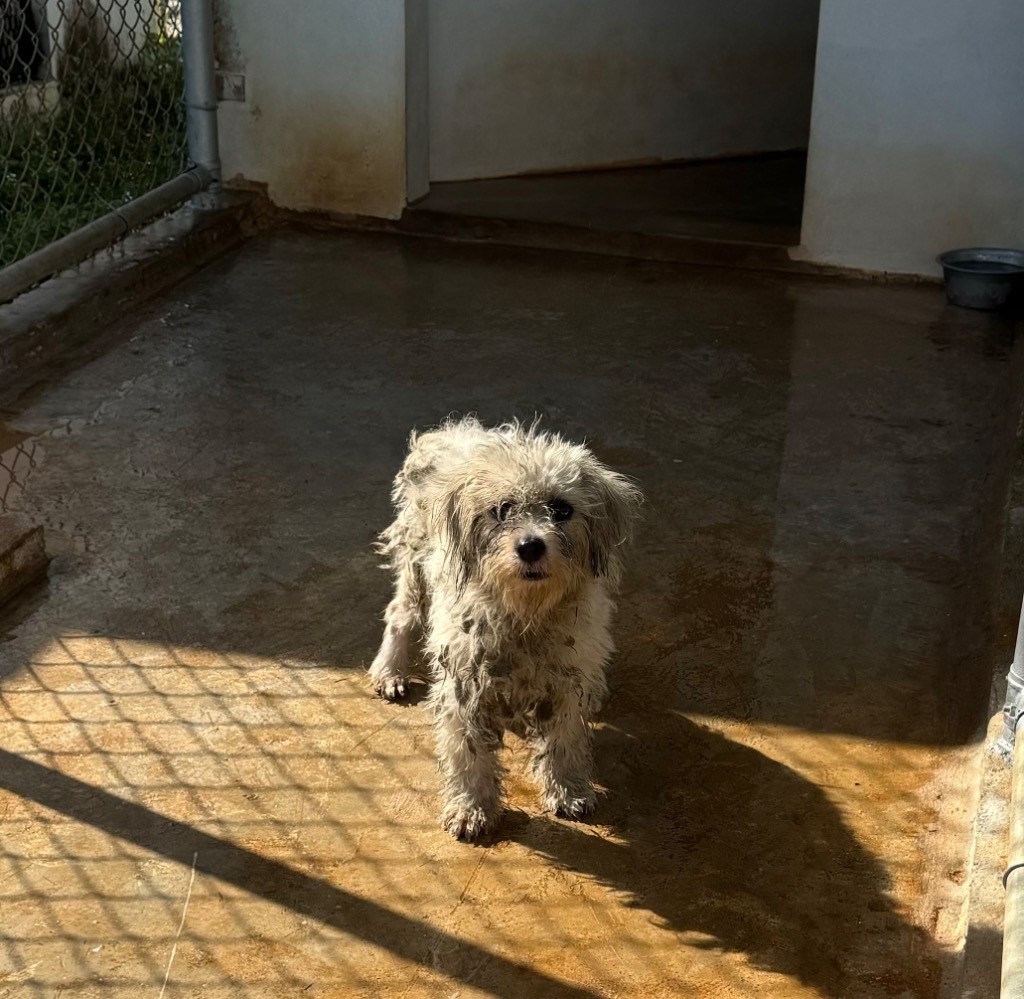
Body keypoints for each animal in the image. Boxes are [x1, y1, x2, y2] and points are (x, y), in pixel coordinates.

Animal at [368, 417, 638, 839]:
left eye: (561, 509)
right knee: (400, 613)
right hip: (415, 568)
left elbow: (566, 738)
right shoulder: (464, 684)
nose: (530, 546)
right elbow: (468, 753)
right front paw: (471, 807)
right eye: (502, 509)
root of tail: (446, 432)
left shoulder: (570, 680)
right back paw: (389, 670)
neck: (525, 612)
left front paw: (568, 789)